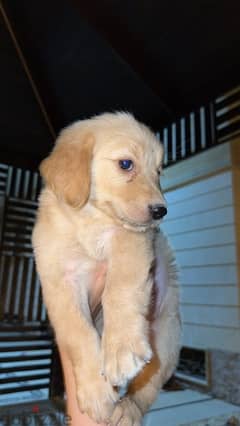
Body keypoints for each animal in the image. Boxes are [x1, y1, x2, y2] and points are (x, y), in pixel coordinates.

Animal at [32, 111, 181, 424]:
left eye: (158, 171)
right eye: (126, 164)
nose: (161, 211)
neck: (90, 219)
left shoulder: (132, 239)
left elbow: (120, 289)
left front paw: (122, 347)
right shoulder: (57, 279)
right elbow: (77, 331)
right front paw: (94, 391)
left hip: (166, 336)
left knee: (148, 386)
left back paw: (128, 409)